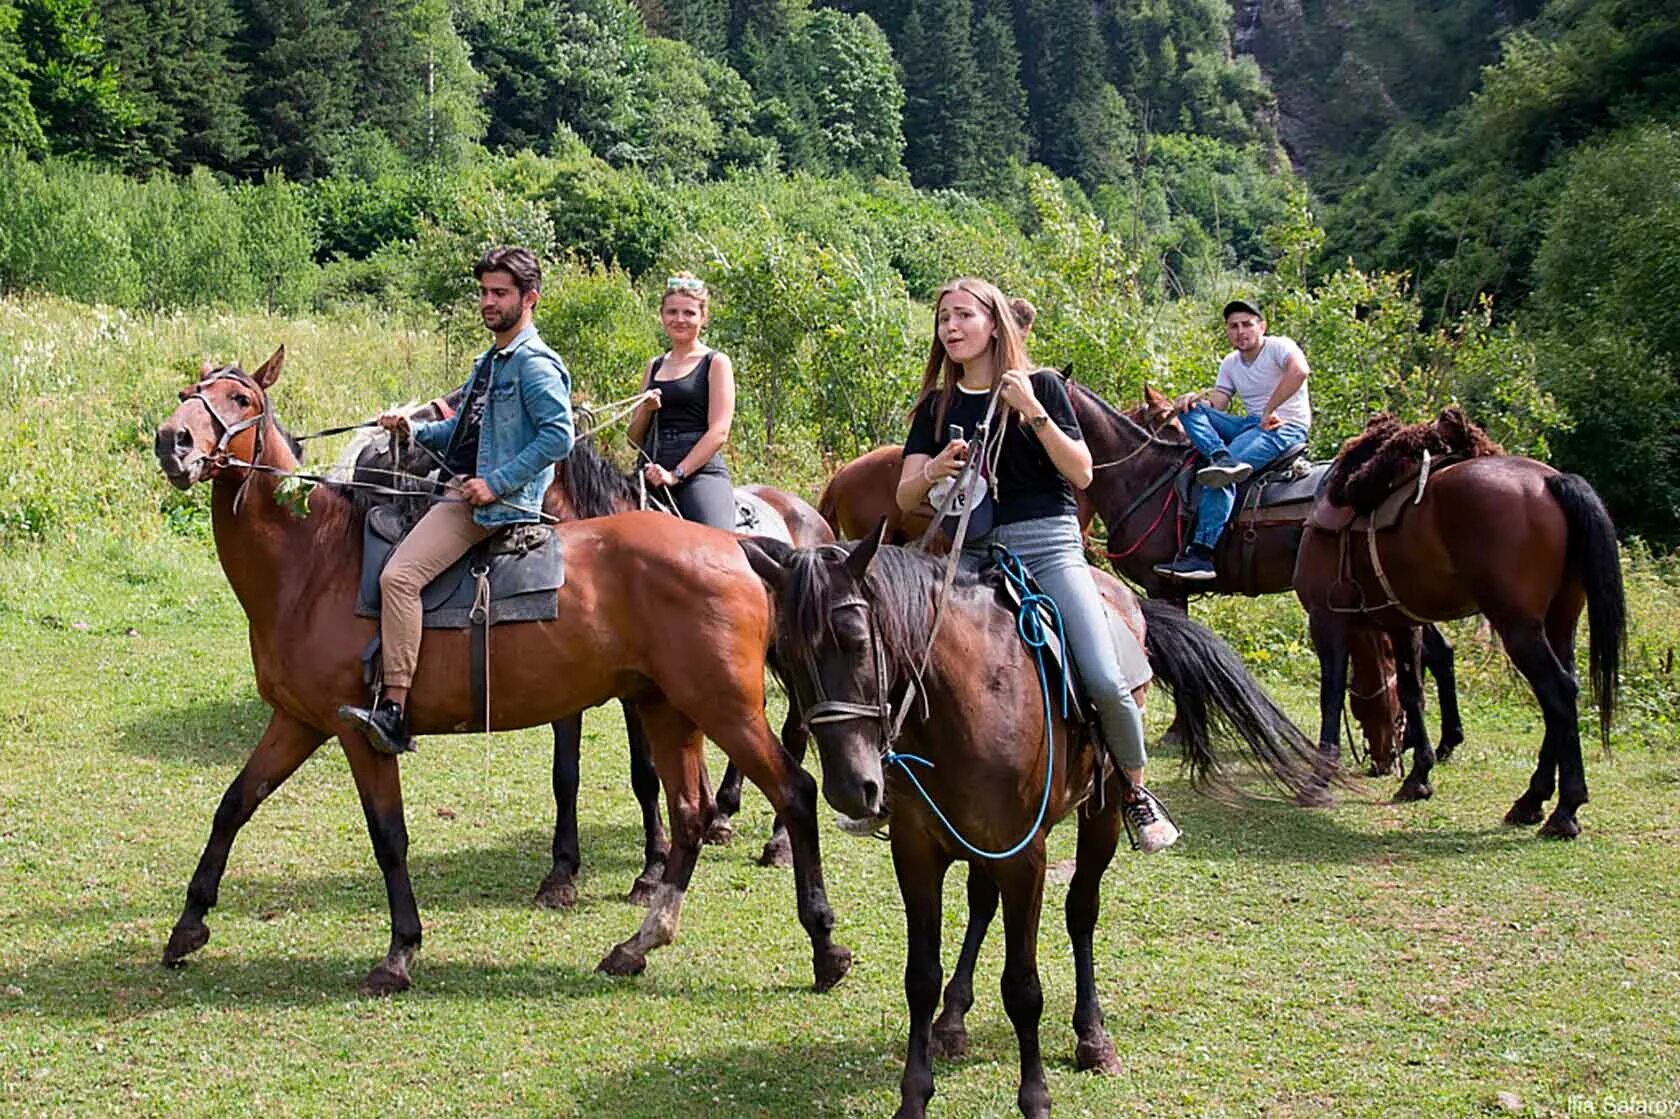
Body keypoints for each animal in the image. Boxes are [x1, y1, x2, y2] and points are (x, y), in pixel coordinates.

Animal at [152, 351, 853, 994]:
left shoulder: (360, 733)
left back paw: (822, 943)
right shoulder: (297, 722)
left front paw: (400, 952)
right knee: (689, 813)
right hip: (669, 707)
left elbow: (389, 837)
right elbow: (234, 805)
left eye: (240, 399)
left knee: (792, 790)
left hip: (724, 707)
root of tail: (739, 546)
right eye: (188, 394)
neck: (313, 564)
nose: (172, 441)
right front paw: (188, 925)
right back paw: (639, 943)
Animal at [742, 524, 1330, 1115]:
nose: (851, 789)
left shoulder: (1026, 858)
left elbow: (1023, 988)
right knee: (982, 903)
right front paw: (914, 1095)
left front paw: (1035, 1098)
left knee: (1081, 911)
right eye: (786, 657)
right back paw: (953, 1019)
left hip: (1099, 816)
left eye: (858, 641)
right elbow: (920, 977)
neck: (966, 698)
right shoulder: (918, 851)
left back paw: (1092, 1036)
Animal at [1290, 450, 1619, 826]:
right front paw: (1418, 778)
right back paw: (1532, 801)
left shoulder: (1326, 620)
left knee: (1558, 692)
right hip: (1560, 622)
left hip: (1519, 628)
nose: (1384, 760)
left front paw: (1318, 780)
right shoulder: (1401, 622)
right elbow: (1412, 692)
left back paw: (1565, 809)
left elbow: (1330, 697)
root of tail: (1550, 481)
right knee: (1565, 693)